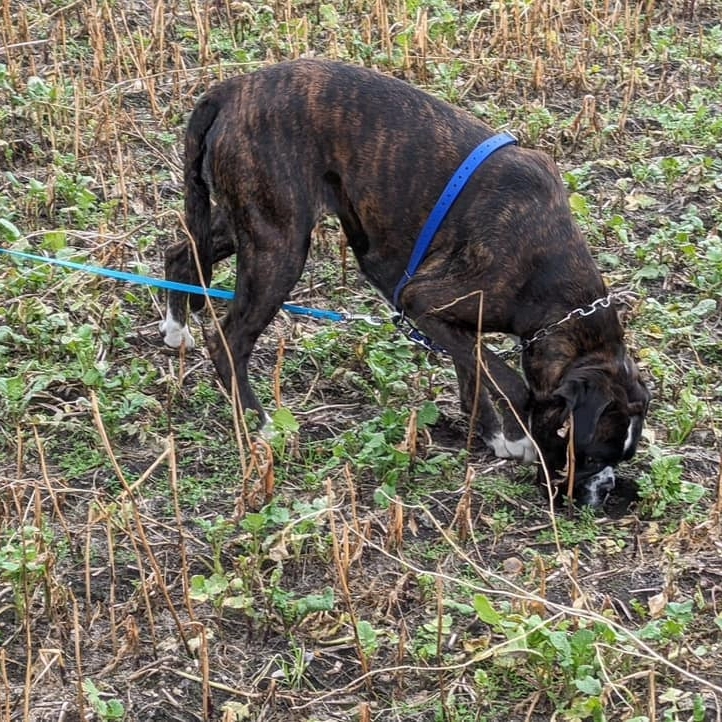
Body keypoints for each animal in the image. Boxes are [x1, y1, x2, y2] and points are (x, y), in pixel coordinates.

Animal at [162, 59, 648, 504]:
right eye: (588, 454)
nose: (603, 492)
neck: (553, 289)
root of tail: (230, 90)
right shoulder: (423, 302)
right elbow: (507, 379)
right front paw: (517, 434)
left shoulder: (450, 318)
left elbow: (473, 368)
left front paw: (492, 433)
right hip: (278, 246)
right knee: (229, 339)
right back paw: (260, 424)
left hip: (249, 223)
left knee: (181, 256)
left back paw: (176, 329)